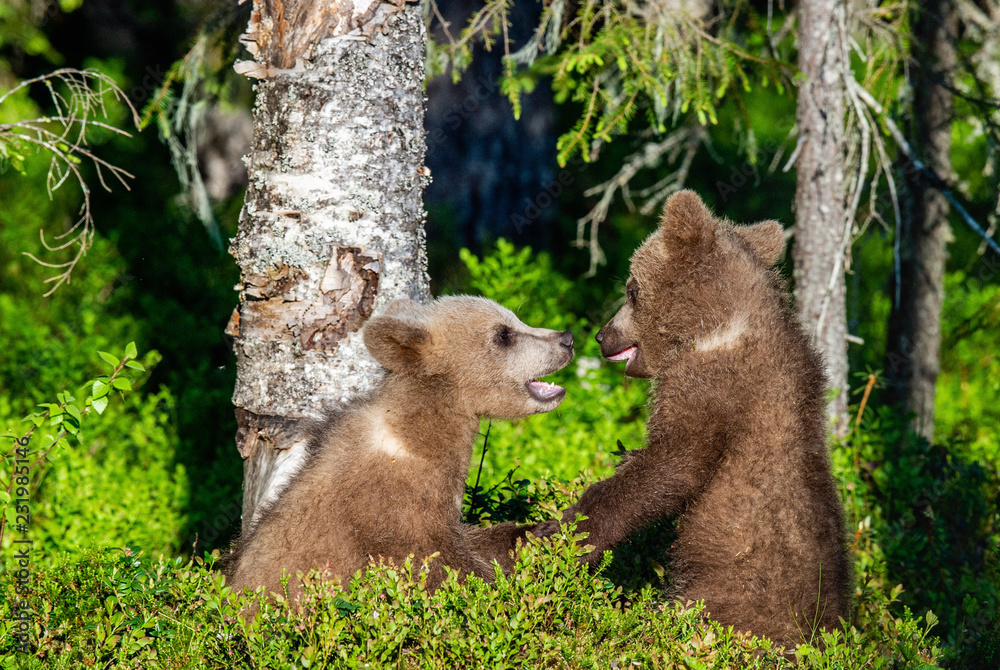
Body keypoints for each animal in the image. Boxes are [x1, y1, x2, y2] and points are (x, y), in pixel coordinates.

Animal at [225, 295, 575, 601]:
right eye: (504, 334)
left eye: (516, 318)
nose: (566, 338)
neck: (421, 438)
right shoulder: (390, 510)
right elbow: (444, 568)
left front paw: (540, 531)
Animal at [478, 191, 850, 649]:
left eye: (631, 289)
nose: (601, 335)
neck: (716, 328)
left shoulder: (708, 389)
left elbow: (672, 465)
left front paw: (559, 534)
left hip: (727, 595)